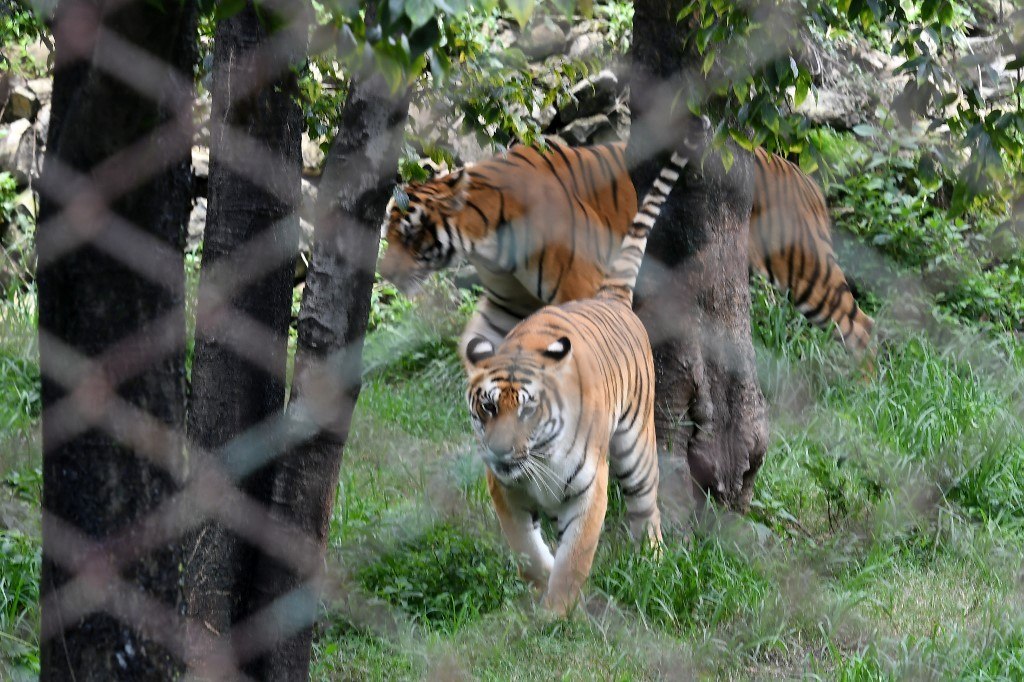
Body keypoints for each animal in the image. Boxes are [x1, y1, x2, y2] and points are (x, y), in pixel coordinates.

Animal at [380, 136, 876, 352]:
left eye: (410, 234)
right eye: (388, 233)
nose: (384, 274)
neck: (481, 240)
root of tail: (802, 175)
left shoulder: (579, 284)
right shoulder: (508, 301)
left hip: (805, 269)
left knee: (859, 323)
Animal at [464, 150, 688, 614]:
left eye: (527, 410)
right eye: (488, 407)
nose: (500, 452)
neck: (539, 458)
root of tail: (609, 297)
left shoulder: (589, 490)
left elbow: (575, 557)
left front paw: (556, 614)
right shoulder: (506, 491)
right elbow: (528, 551)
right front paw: (542, 584)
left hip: (637, 448)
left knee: (647, 507)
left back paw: (654, 563)